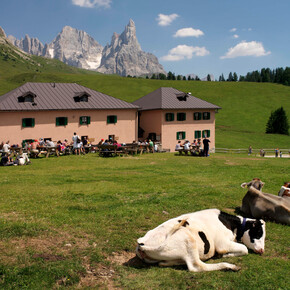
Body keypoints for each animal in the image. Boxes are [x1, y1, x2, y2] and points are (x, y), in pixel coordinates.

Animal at [136, 208, 266, 272]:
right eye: (259, 232)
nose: (262, 250)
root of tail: (141, 244)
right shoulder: (222, 244)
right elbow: (244, 249)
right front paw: (225, 255)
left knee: (164, 263)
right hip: (188, 239)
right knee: (196, 267)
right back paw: (230, 266)